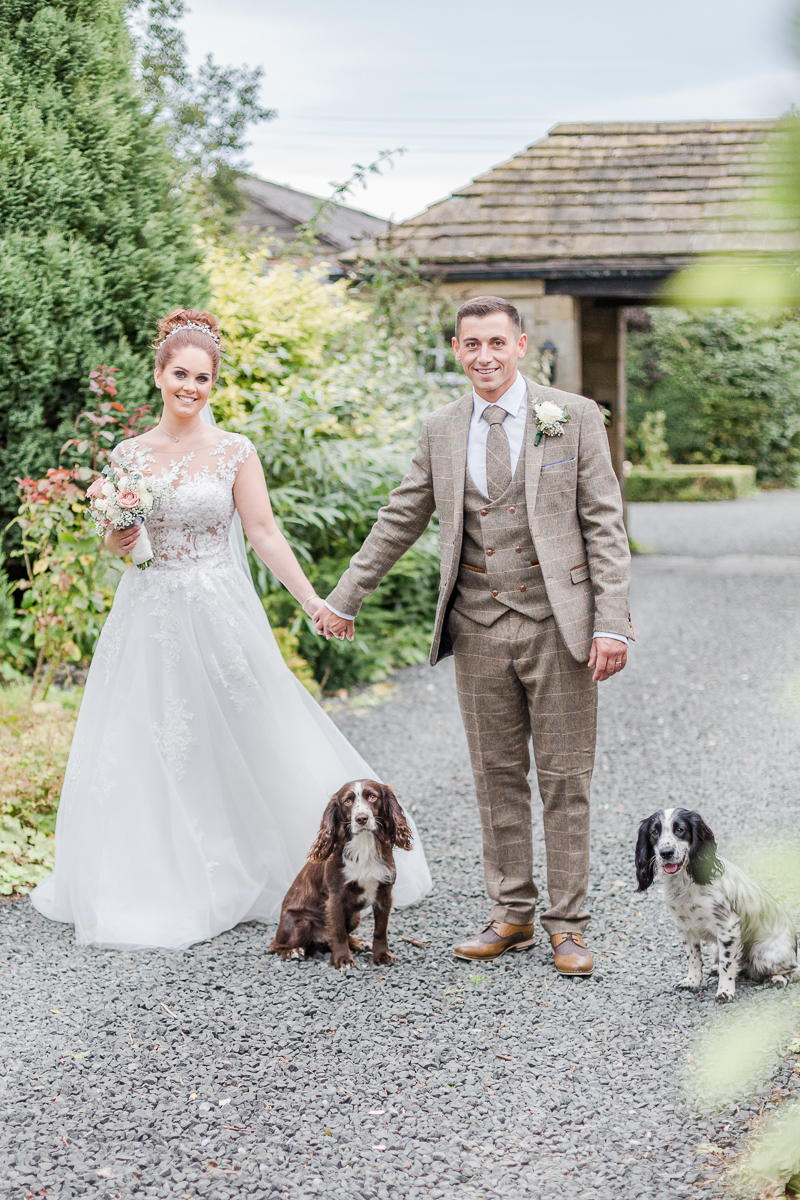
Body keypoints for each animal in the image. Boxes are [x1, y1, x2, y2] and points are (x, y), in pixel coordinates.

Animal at [268, 782, 412, 969]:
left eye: (373, 797)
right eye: (347, 801)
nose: (361, 819)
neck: (364, 846)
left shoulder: (384, 893)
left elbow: (380, 930)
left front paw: (382, 955)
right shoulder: (335, 897)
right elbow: (338, 932)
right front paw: (343, 959)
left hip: (354, 917)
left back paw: (360, 943)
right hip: (301, 922)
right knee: (275, 944)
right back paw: (291, 951)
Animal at [633, 811, 796, 998]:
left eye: (680, 829)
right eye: (654, 832)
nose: (666, 852)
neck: (686, 883)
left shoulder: (728, 928)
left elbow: (727, 965)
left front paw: (725, 992)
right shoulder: (685, 928)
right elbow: (694, 958)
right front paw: (692, 982)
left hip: (766, 955)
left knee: (792, 971)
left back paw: (777, 979)